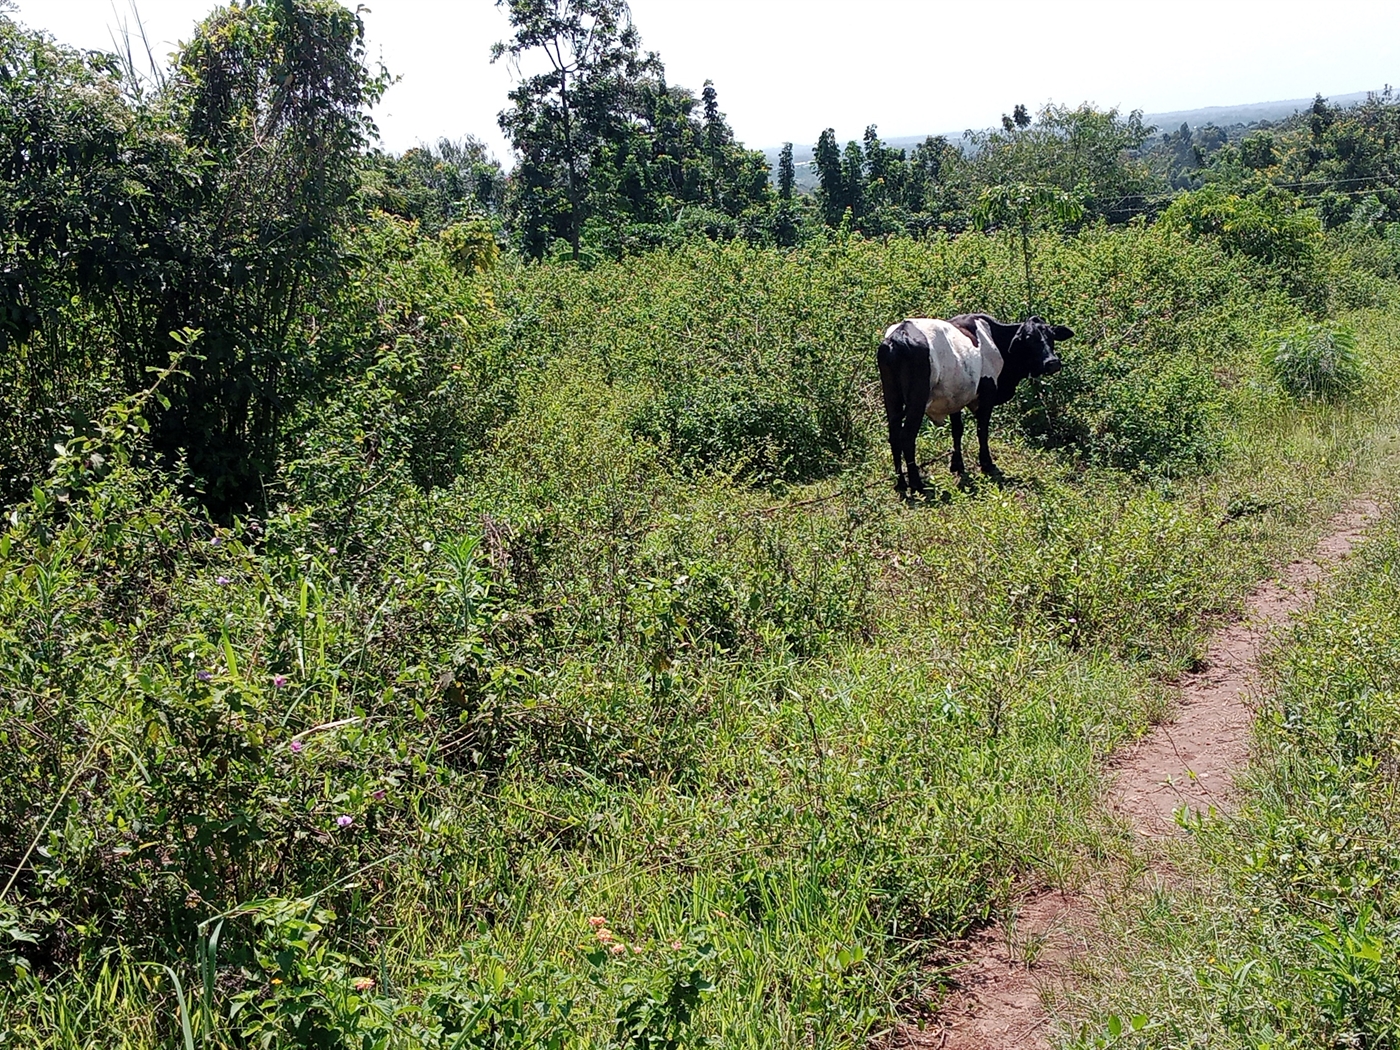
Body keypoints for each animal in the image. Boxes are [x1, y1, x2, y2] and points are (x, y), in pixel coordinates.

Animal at [873, 315, 1069, 492]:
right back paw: (916, 483)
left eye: (1051, 336)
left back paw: (900, 482)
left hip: (891, 397)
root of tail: (899, 335)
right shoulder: (988, 392)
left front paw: (957, 464)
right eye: (1029, 339)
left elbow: (957, 430)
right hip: (917, 400)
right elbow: (982, 429)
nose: (1053, 363)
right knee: (907, 436)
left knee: (894, 435)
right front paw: (987, 463)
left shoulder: (954, 398)